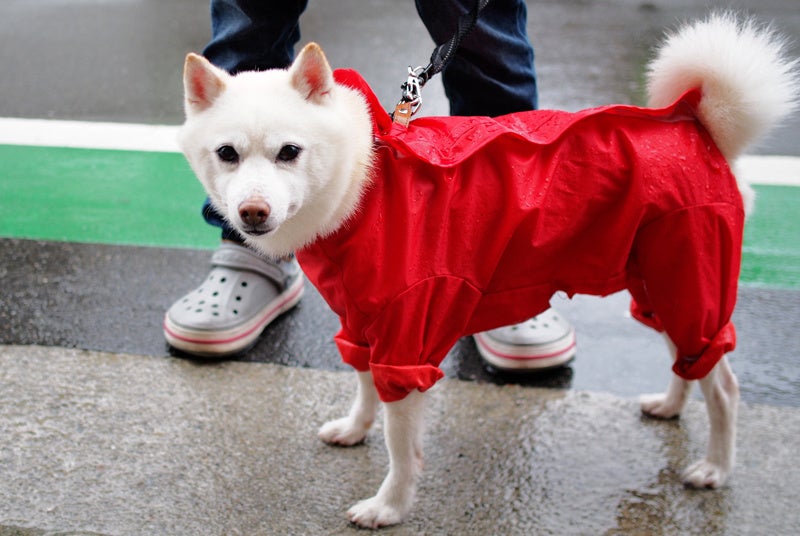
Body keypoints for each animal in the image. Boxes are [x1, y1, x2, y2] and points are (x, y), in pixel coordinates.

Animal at [178, 14, 797, 528]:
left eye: (289, 152)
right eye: (228, 154)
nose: (251, 214)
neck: (364, 183)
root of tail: (701, 130)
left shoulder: (409, 338)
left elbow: (401, 444)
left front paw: (390, 506)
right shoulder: (362, 322)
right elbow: (364, 387)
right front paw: (355, 430)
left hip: (691, 277)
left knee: (725, 386)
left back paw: (715, 468)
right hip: (664, 281)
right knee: (689, 360)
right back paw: (670, 405)